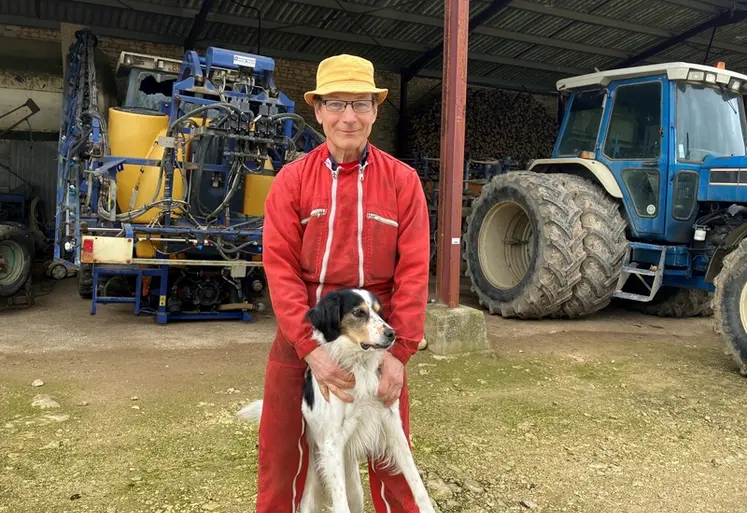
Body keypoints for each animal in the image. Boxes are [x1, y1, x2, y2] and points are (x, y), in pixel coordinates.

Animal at [234, 288, 432, 512]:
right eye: (358, 312)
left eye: (379, 312)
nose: (392, 334)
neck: (359, 366)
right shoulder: (332, 440)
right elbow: (340, 501)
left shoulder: (392, 425)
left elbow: (416, 481)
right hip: (310, 493)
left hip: (356, 491)